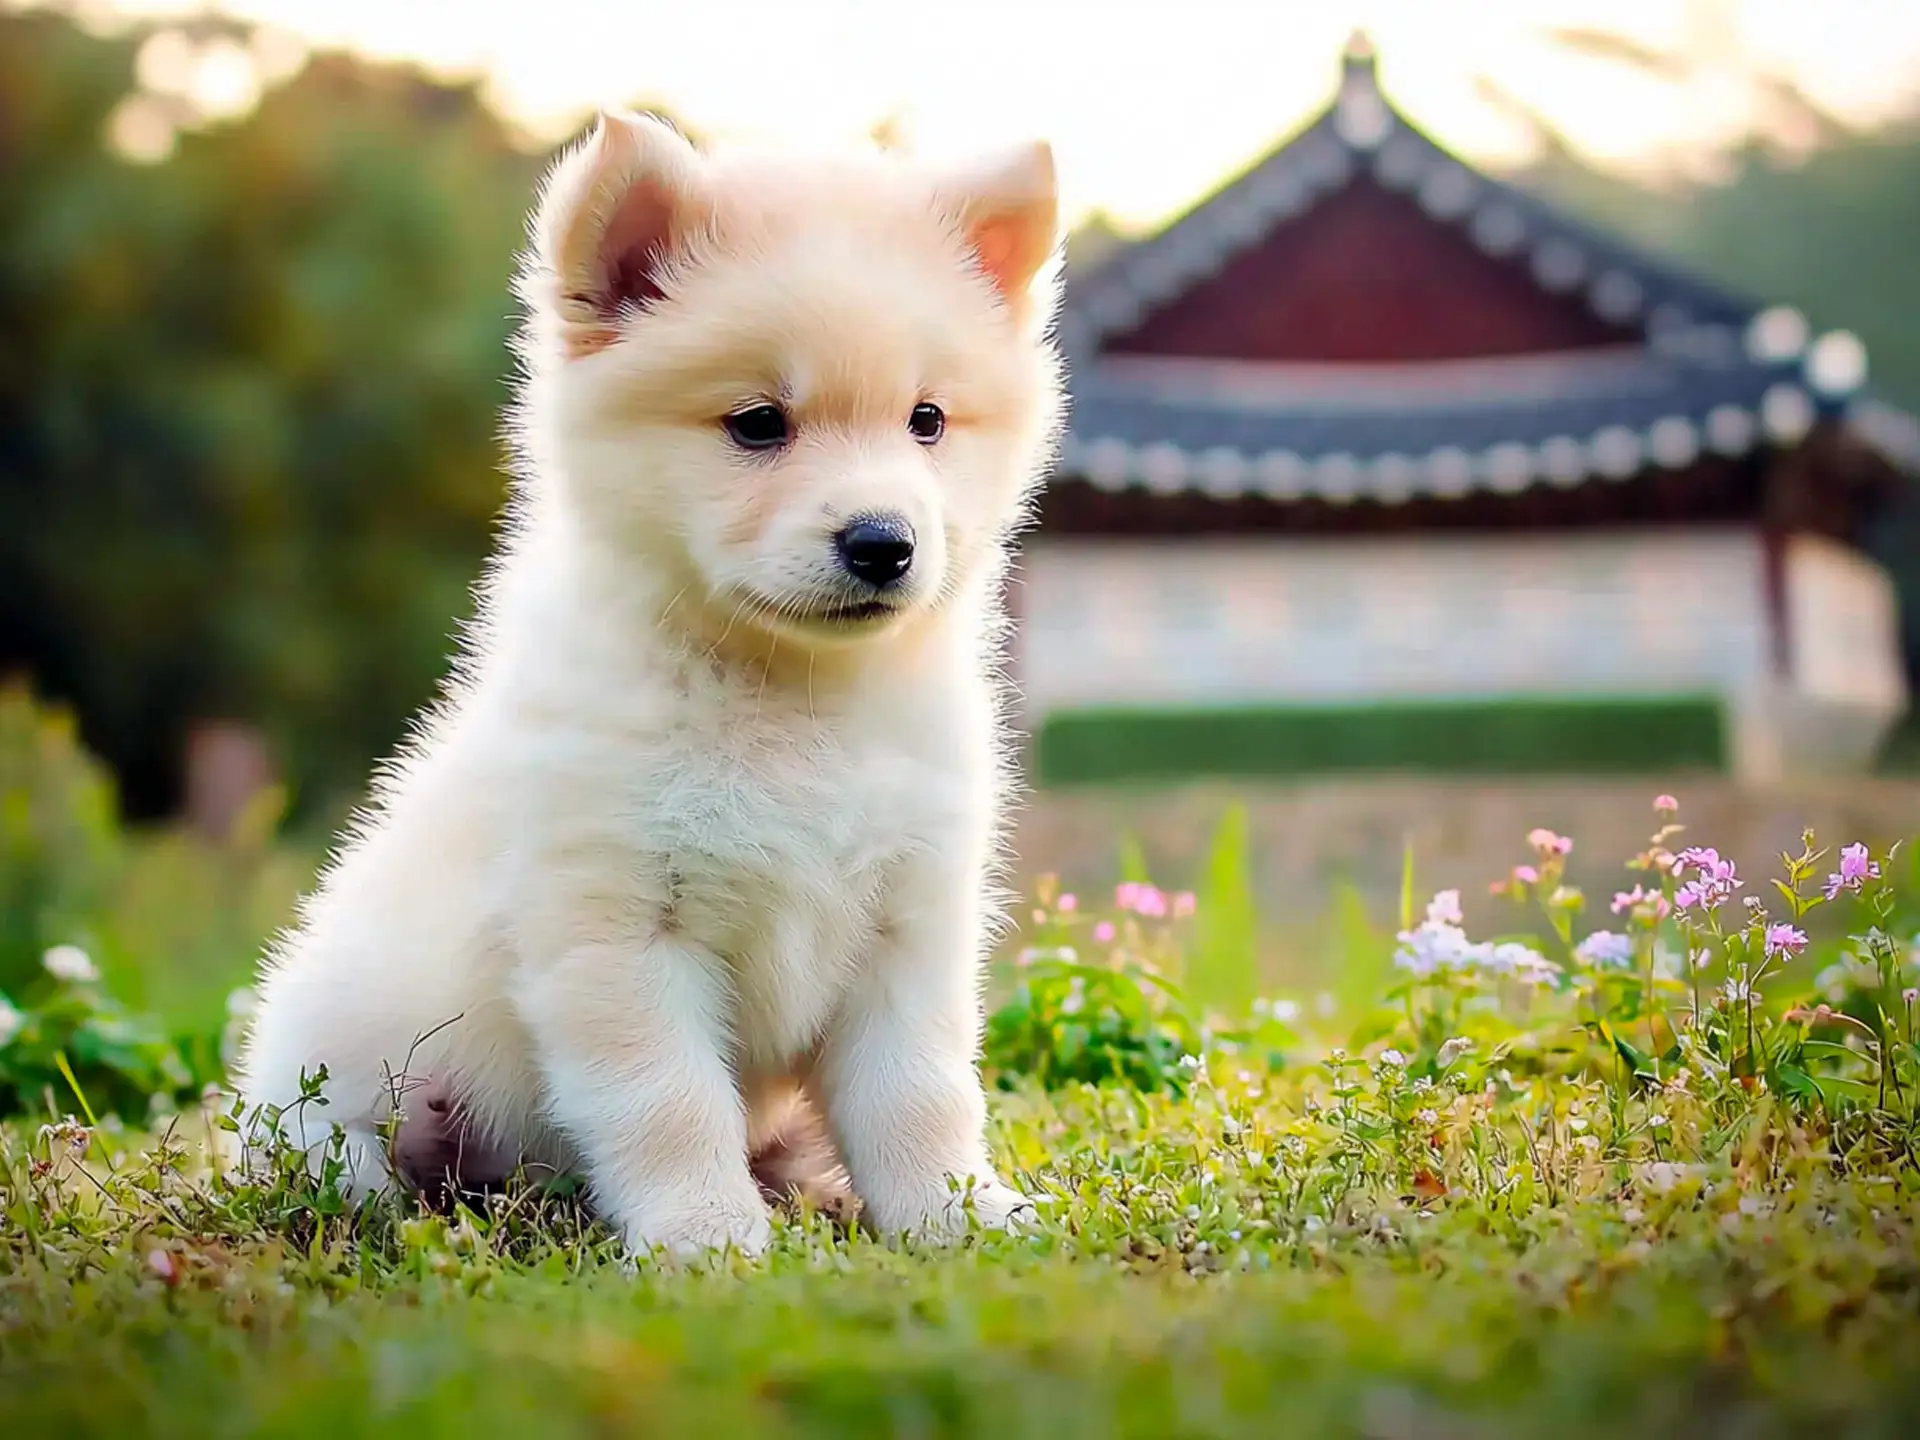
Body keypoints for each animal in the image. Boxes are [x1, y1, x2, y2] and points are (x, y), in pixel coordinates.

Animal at [234, 109, 1075, 1259]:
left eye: (928, 420)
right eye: (759, 422)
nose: (883, 543)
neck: (788, 696)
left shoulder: (907, 926)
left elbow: (921, 1099)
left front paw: (961, 1215)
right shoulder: (617, 932)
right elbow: (671, 1105)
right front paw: (707, 1239)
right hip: (327, 1099)